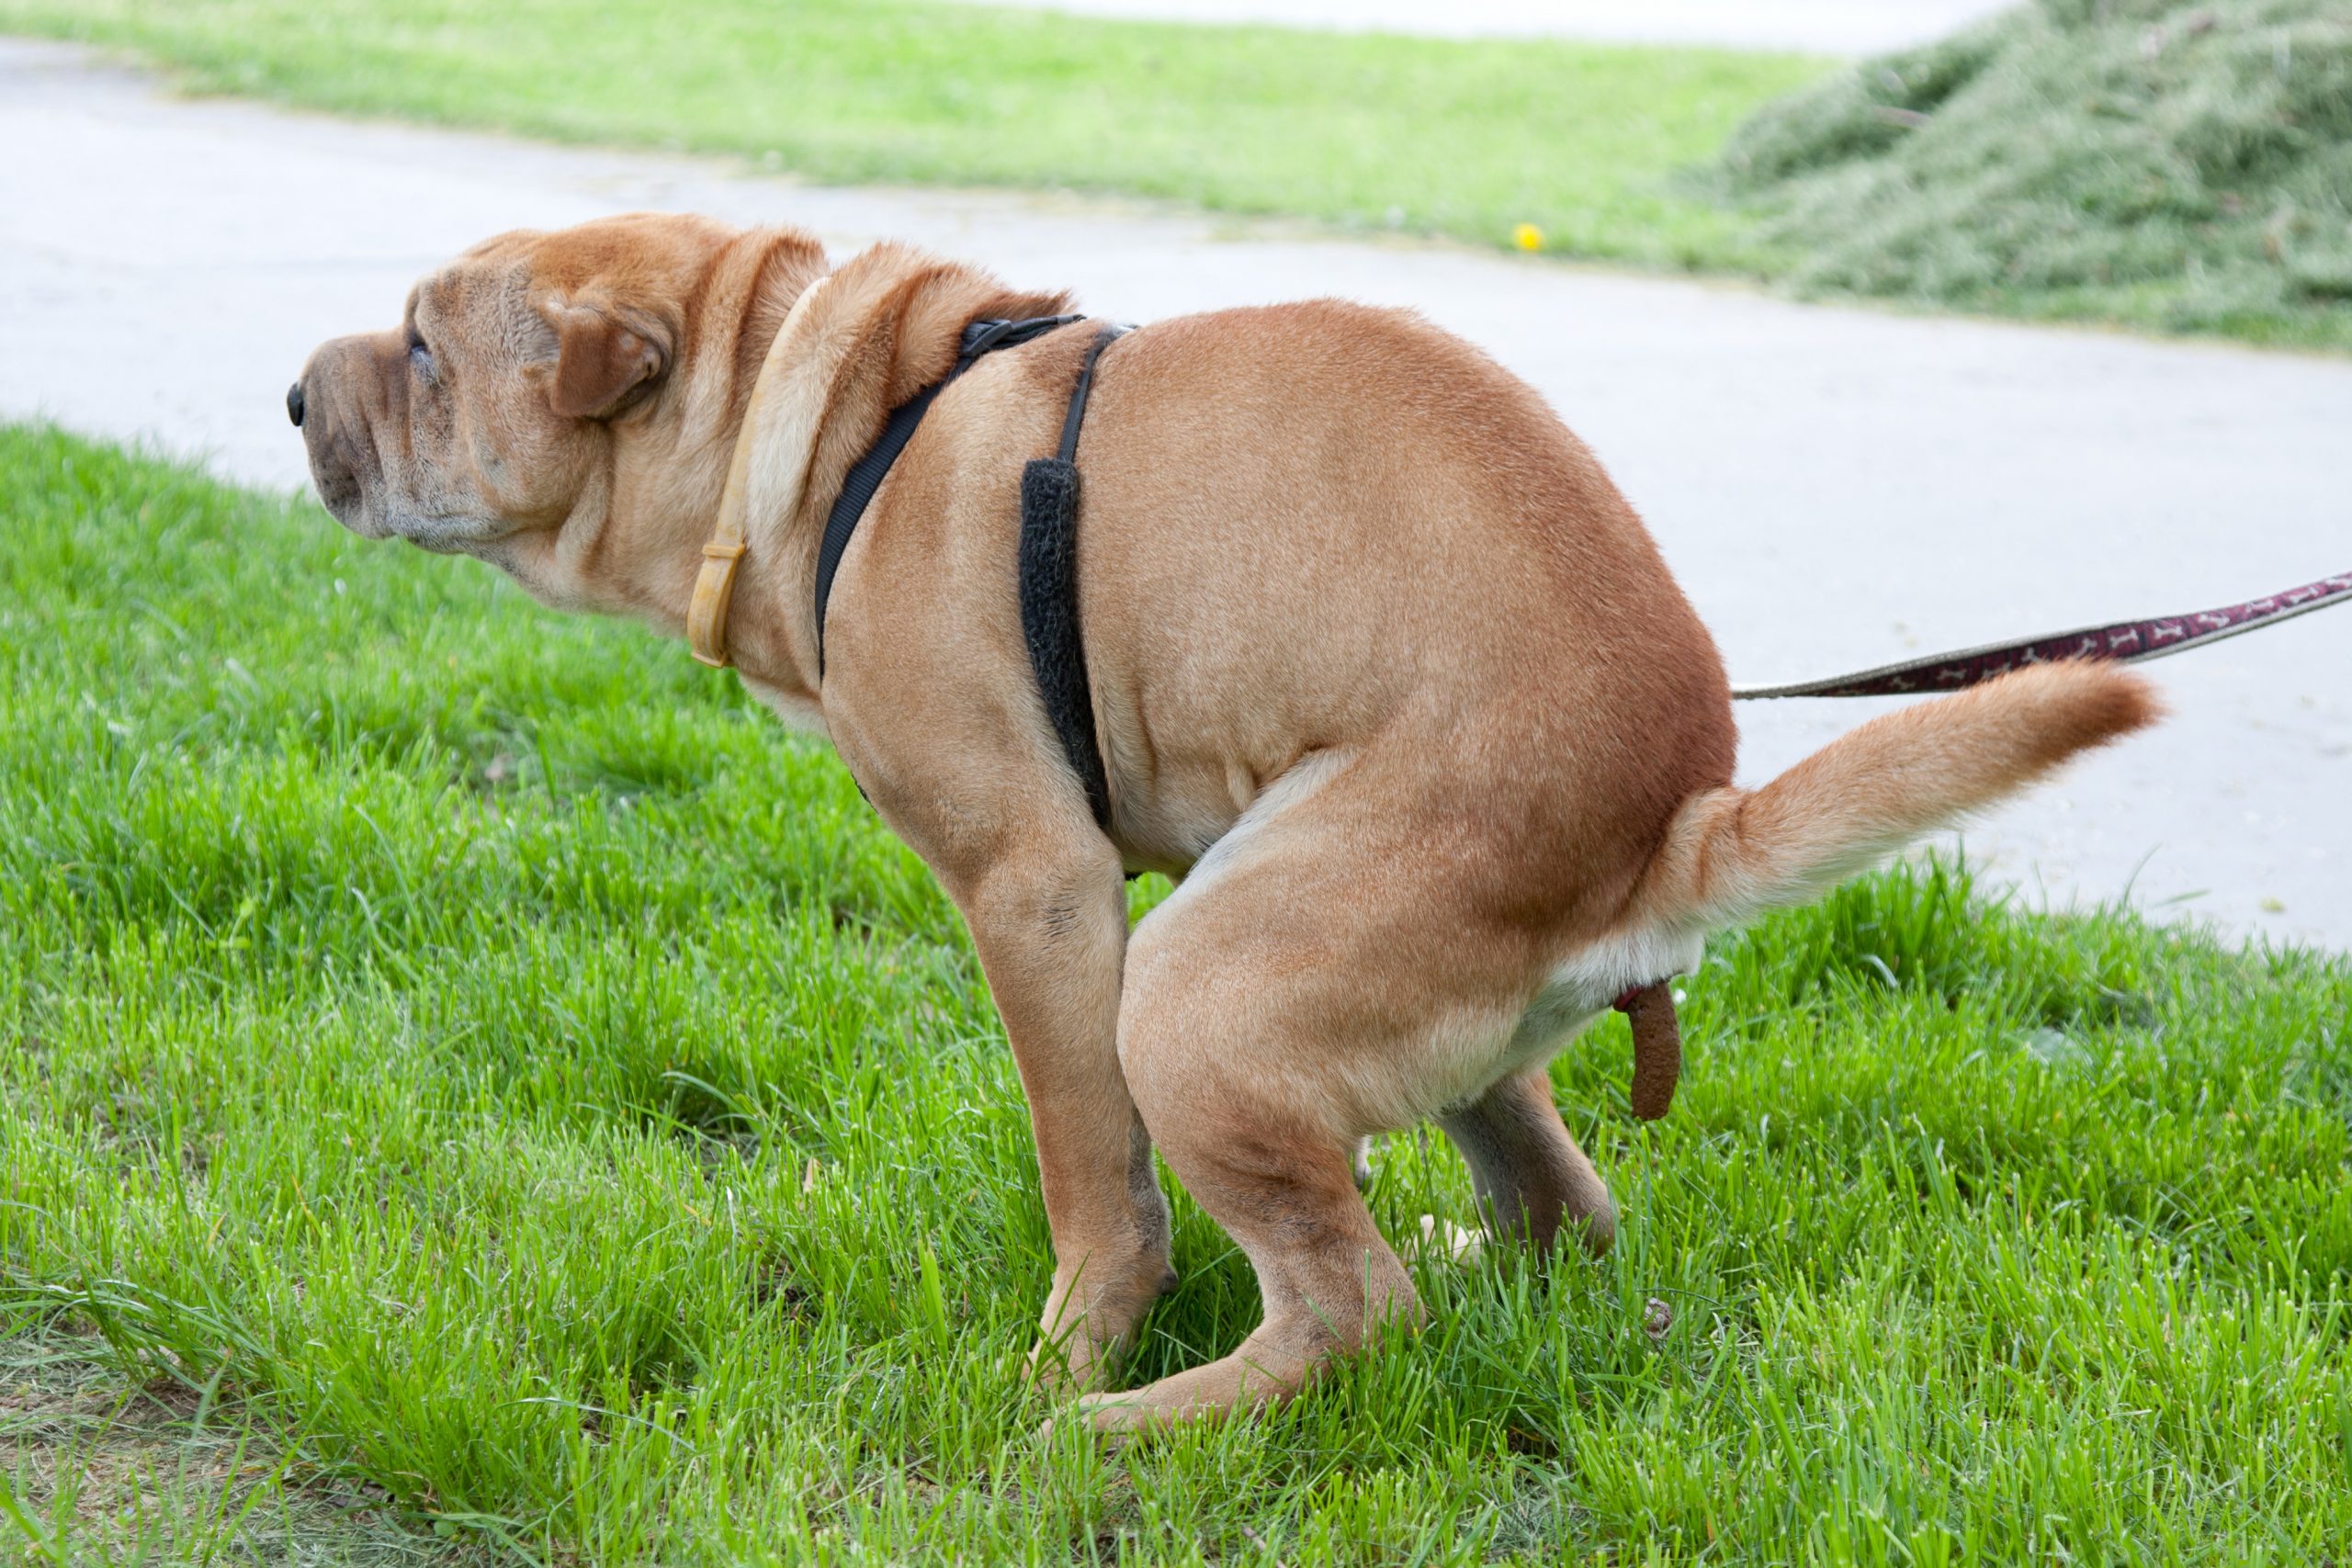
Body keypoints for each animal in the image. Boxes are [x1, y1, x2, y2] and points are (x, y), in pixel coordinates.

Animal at [284, 211, 2154, 1438]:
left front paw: (1070, 1355)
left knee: (1351, 1304)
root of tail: (1676, 822)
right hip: (1402, 1016)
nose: (296, 397)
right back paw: (1458, 1259)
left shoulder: (1041, 894)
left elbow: (1093, 1183)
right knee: (1558, 1213)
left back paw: (1130, 1429)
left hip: (1191, 984)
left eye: (428, 349)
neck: (824, 426)